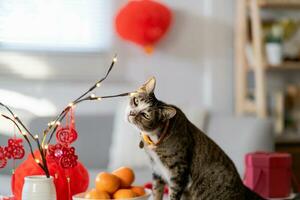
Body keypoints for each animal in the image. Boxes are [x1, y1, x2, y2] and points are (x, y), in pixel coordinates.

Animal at [126, 77, 264, 200]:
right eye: (136, 101)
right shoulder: (157, 170)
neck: (154, 138)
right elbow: (156, 192)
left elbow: (173, 194)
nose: (131, 113)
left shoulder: (178, 172)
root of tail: (244, 189)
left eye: (145, 115)